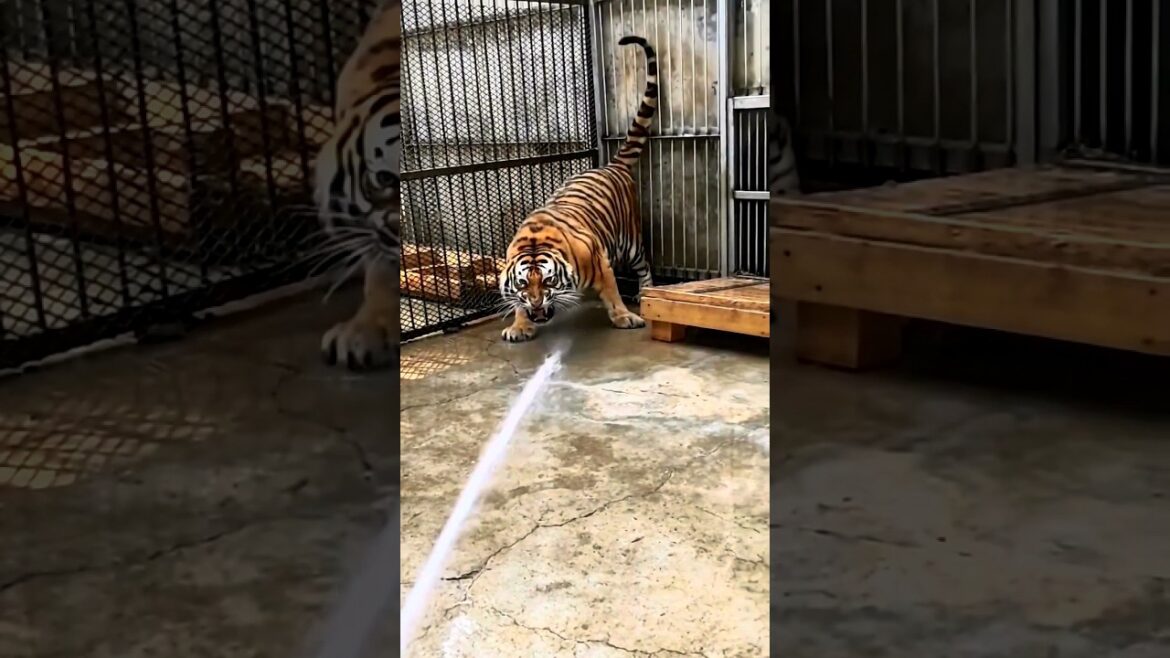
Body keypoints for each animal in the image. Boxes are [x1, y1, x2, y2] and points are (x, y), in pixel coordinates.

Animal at [498, 35, 658, 343]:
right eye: (523, 284)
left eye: (548, 281)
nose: (537, 304)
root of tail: (612, 165)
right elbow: (517, 305)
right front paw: (519, 326)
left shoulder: (600, 260)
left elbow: (613, 293)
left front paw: (624, 317)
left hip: (631, 242)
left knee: (643, 266)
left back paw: (645, 292)